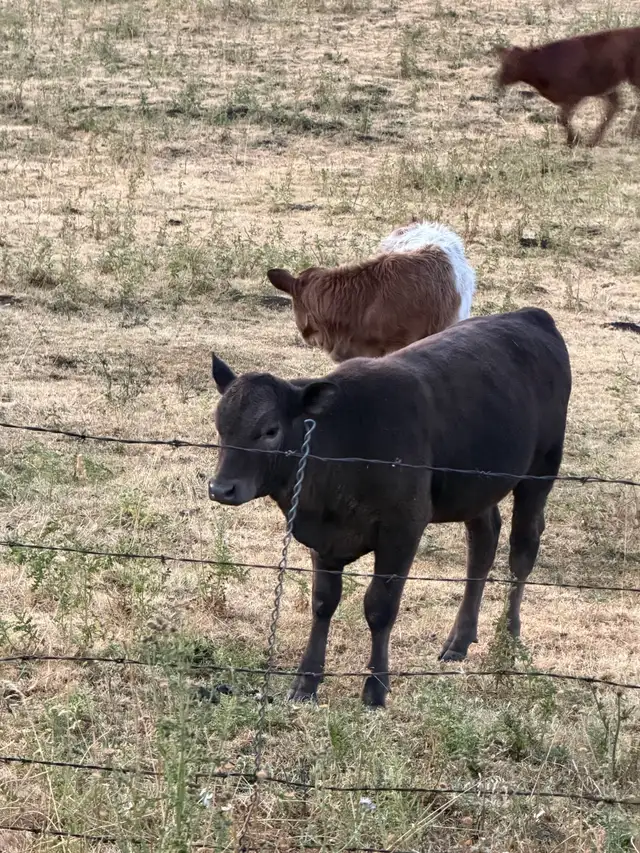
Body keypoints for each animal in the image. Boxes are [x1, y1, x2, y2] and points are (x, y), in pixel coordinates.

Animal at [208, 308, 571, 707]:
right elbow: (322, 603)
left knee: (522, 549)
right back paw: (459, 640)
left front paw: (375, 688)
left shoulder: (403, 529)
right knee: (483, 543)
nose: (221, 488)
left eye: (270, 430)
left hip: (540, 471)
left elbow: (380, 607)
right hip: (476, 486)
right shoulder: (323, 537)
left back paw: (507, 638)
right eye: (220, 425)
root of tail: (529, 316)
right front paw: (306, 683)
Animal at [495, 27, 640, 147]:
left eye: (511, 63)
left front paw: (574, 140)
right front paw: (573, 140)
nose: (498, 79)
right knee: (616, 105)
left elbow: (563, 118)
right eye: (502, 62)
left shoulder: (574, 97)